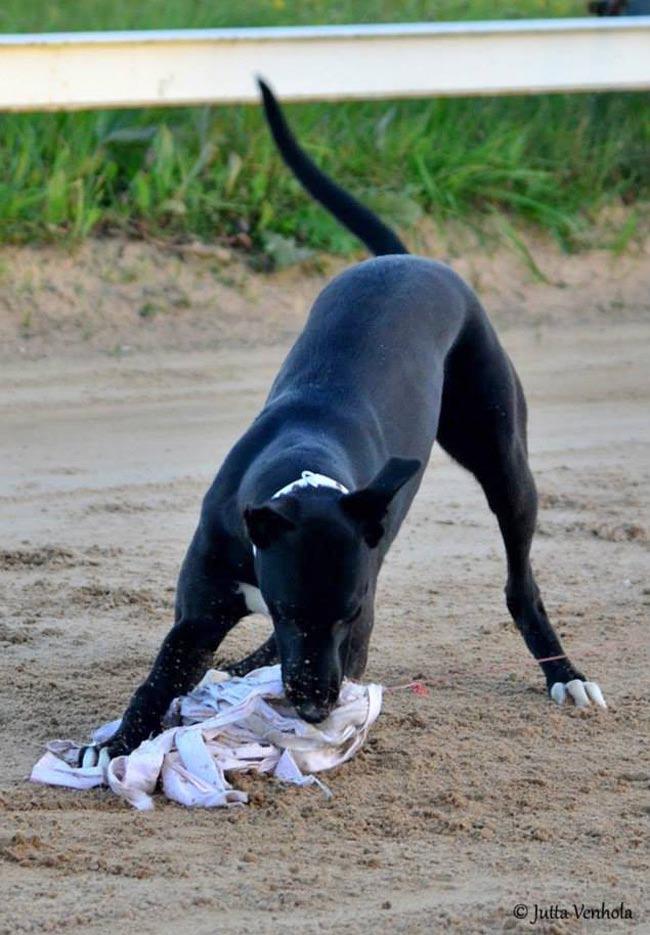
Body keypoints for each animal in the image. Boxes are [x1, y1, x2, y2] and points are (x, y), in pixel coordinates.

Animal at [81, 80, 604, 768]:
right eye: (288, 608)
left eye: (349, 614)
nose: (314, 706)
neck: (302, 469)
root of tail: (408, 258)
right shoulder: (201, 615)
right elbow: (161, 676)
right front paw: (117, 743)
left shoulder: (355, 624)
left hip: (503, 461)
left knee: (522, 582)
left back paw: (564, 673)